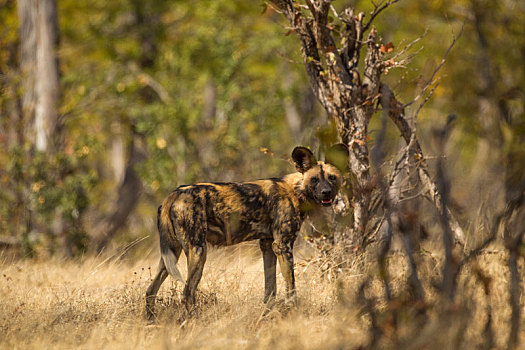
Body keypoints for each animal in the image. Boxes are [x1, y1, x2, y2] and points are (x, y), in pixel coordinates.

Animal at [145, 145, 346, 320]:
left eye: (332, 178)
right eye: (314, 180)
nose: (326, 193)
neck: (296, 190)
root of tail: (174, 194)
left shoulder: (268, 245)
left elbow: (270, 289)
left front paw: (266, 315)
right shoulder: (283, 246)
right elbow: (291, 287)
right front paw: (292, 312)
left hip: (171, 253)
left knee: (150, 291)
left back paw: (151, 322)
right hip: (198, 251)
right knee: (187, 293)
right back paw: (195, 322)